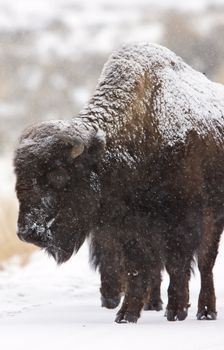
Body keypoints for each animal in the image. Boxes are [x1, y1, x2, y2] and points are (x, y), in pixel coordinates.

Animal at [14, 43, 224, 322]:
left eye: (58, 175)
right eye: (19, 177)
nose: (28, 232)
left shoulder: (179, 219)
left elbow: (176, 263)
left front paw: (176, 310)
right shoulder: (125, 228)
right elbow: (138, 268)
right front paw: (126, 315)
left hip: (214, 216)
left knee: (206, 262)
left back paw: (205, 311)